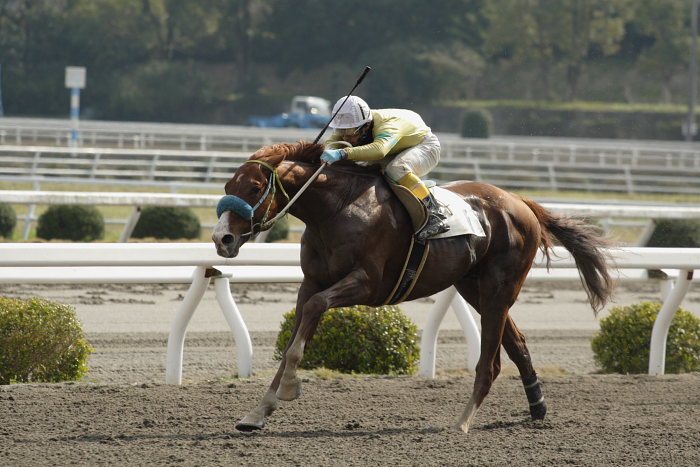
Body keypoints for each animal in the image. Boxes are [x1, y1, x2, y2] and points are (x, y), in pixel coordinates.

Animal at [212, 141, 612, 434]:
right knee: (518, 344)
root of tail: (521, 202)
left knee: (491, 362)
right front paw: (258, 412)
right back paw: (537, 409)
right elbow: (295, 337)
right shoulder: (310, 284)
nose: (221, 239)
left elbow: (311, 318)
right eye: (228, 187)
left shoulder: (366, 283)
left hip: (499, 289)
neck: (335, 209)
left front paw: (290, 387)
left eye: (256, 187)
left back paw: (462, 421)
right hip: (475, 288)